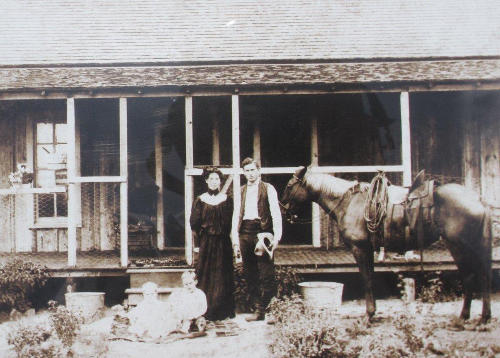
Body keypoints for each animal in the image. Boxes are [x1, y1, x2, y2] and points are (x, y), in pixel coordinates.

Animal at [282, 166, 492, 324]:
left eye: (290, 185)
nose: (283, 208)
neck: (349, 202)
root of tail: (478, 199)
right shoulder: (368, 249)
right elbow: (371, 278)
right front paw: (373, 312)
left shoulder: (359, 249)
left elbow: (366, 279)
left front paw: (368, 315)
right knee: (483, 276)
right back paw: (483, 317)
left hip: (458, 246)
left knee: (470, 277)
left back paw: (464, 317)